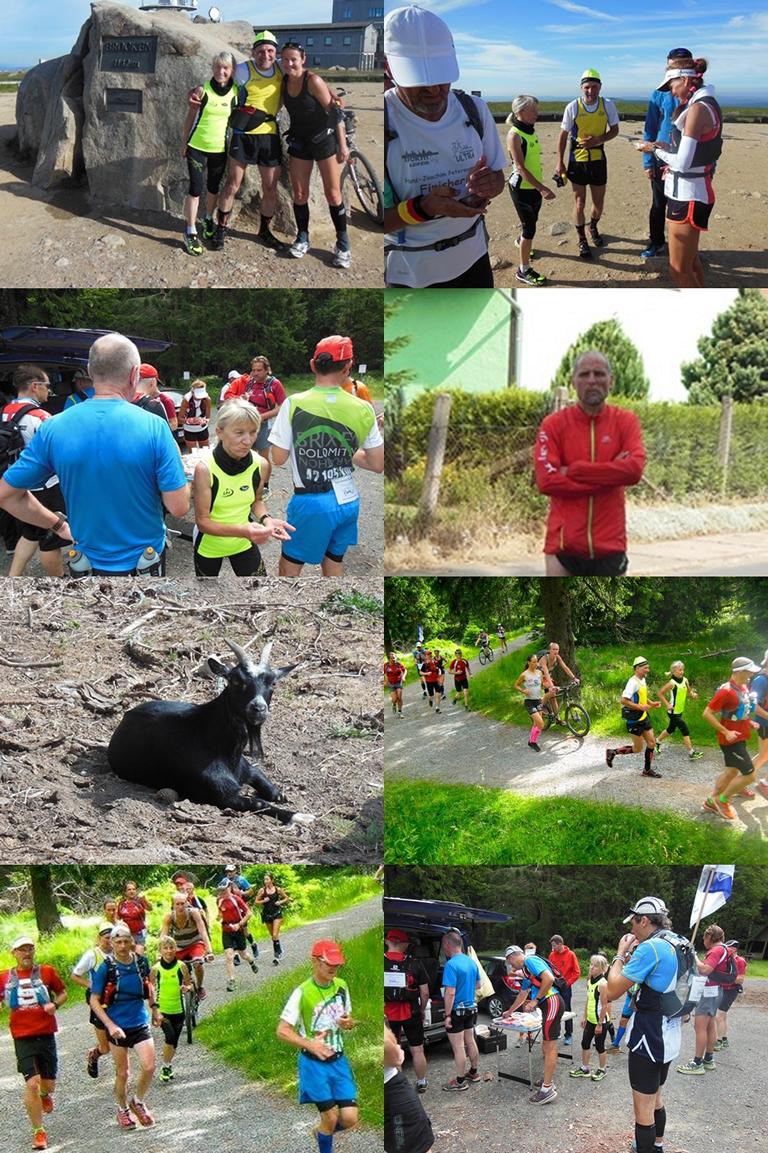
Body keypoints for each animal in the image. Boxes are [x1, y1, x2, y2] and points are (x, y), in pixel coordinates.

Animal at [106, 641, 295, 820]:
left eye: (273, 683)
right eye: (235, 680)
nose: (258, 708)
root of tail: (127, 715)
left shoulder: (247, 769)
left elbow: (272, 790)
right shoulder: (221, 795)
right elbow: (258, 803)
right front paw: (296, 816)